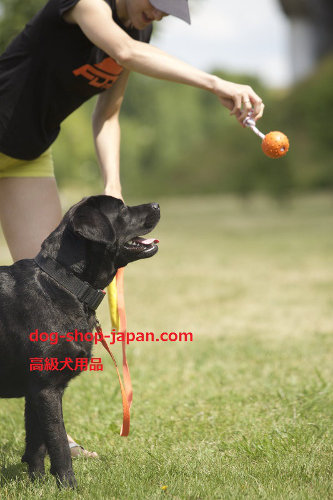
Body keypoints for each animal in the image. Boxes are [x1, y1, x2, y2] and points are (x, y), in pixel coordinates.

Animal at [0, 195, 160, 488]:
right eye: (121, 208)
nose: (156, 205)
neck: (65, 284)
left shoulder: (35, 390)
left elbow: (36, 444)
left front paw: (38, 484)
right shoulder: (46, 388)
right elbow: (58, 443)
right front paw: (69, 486)